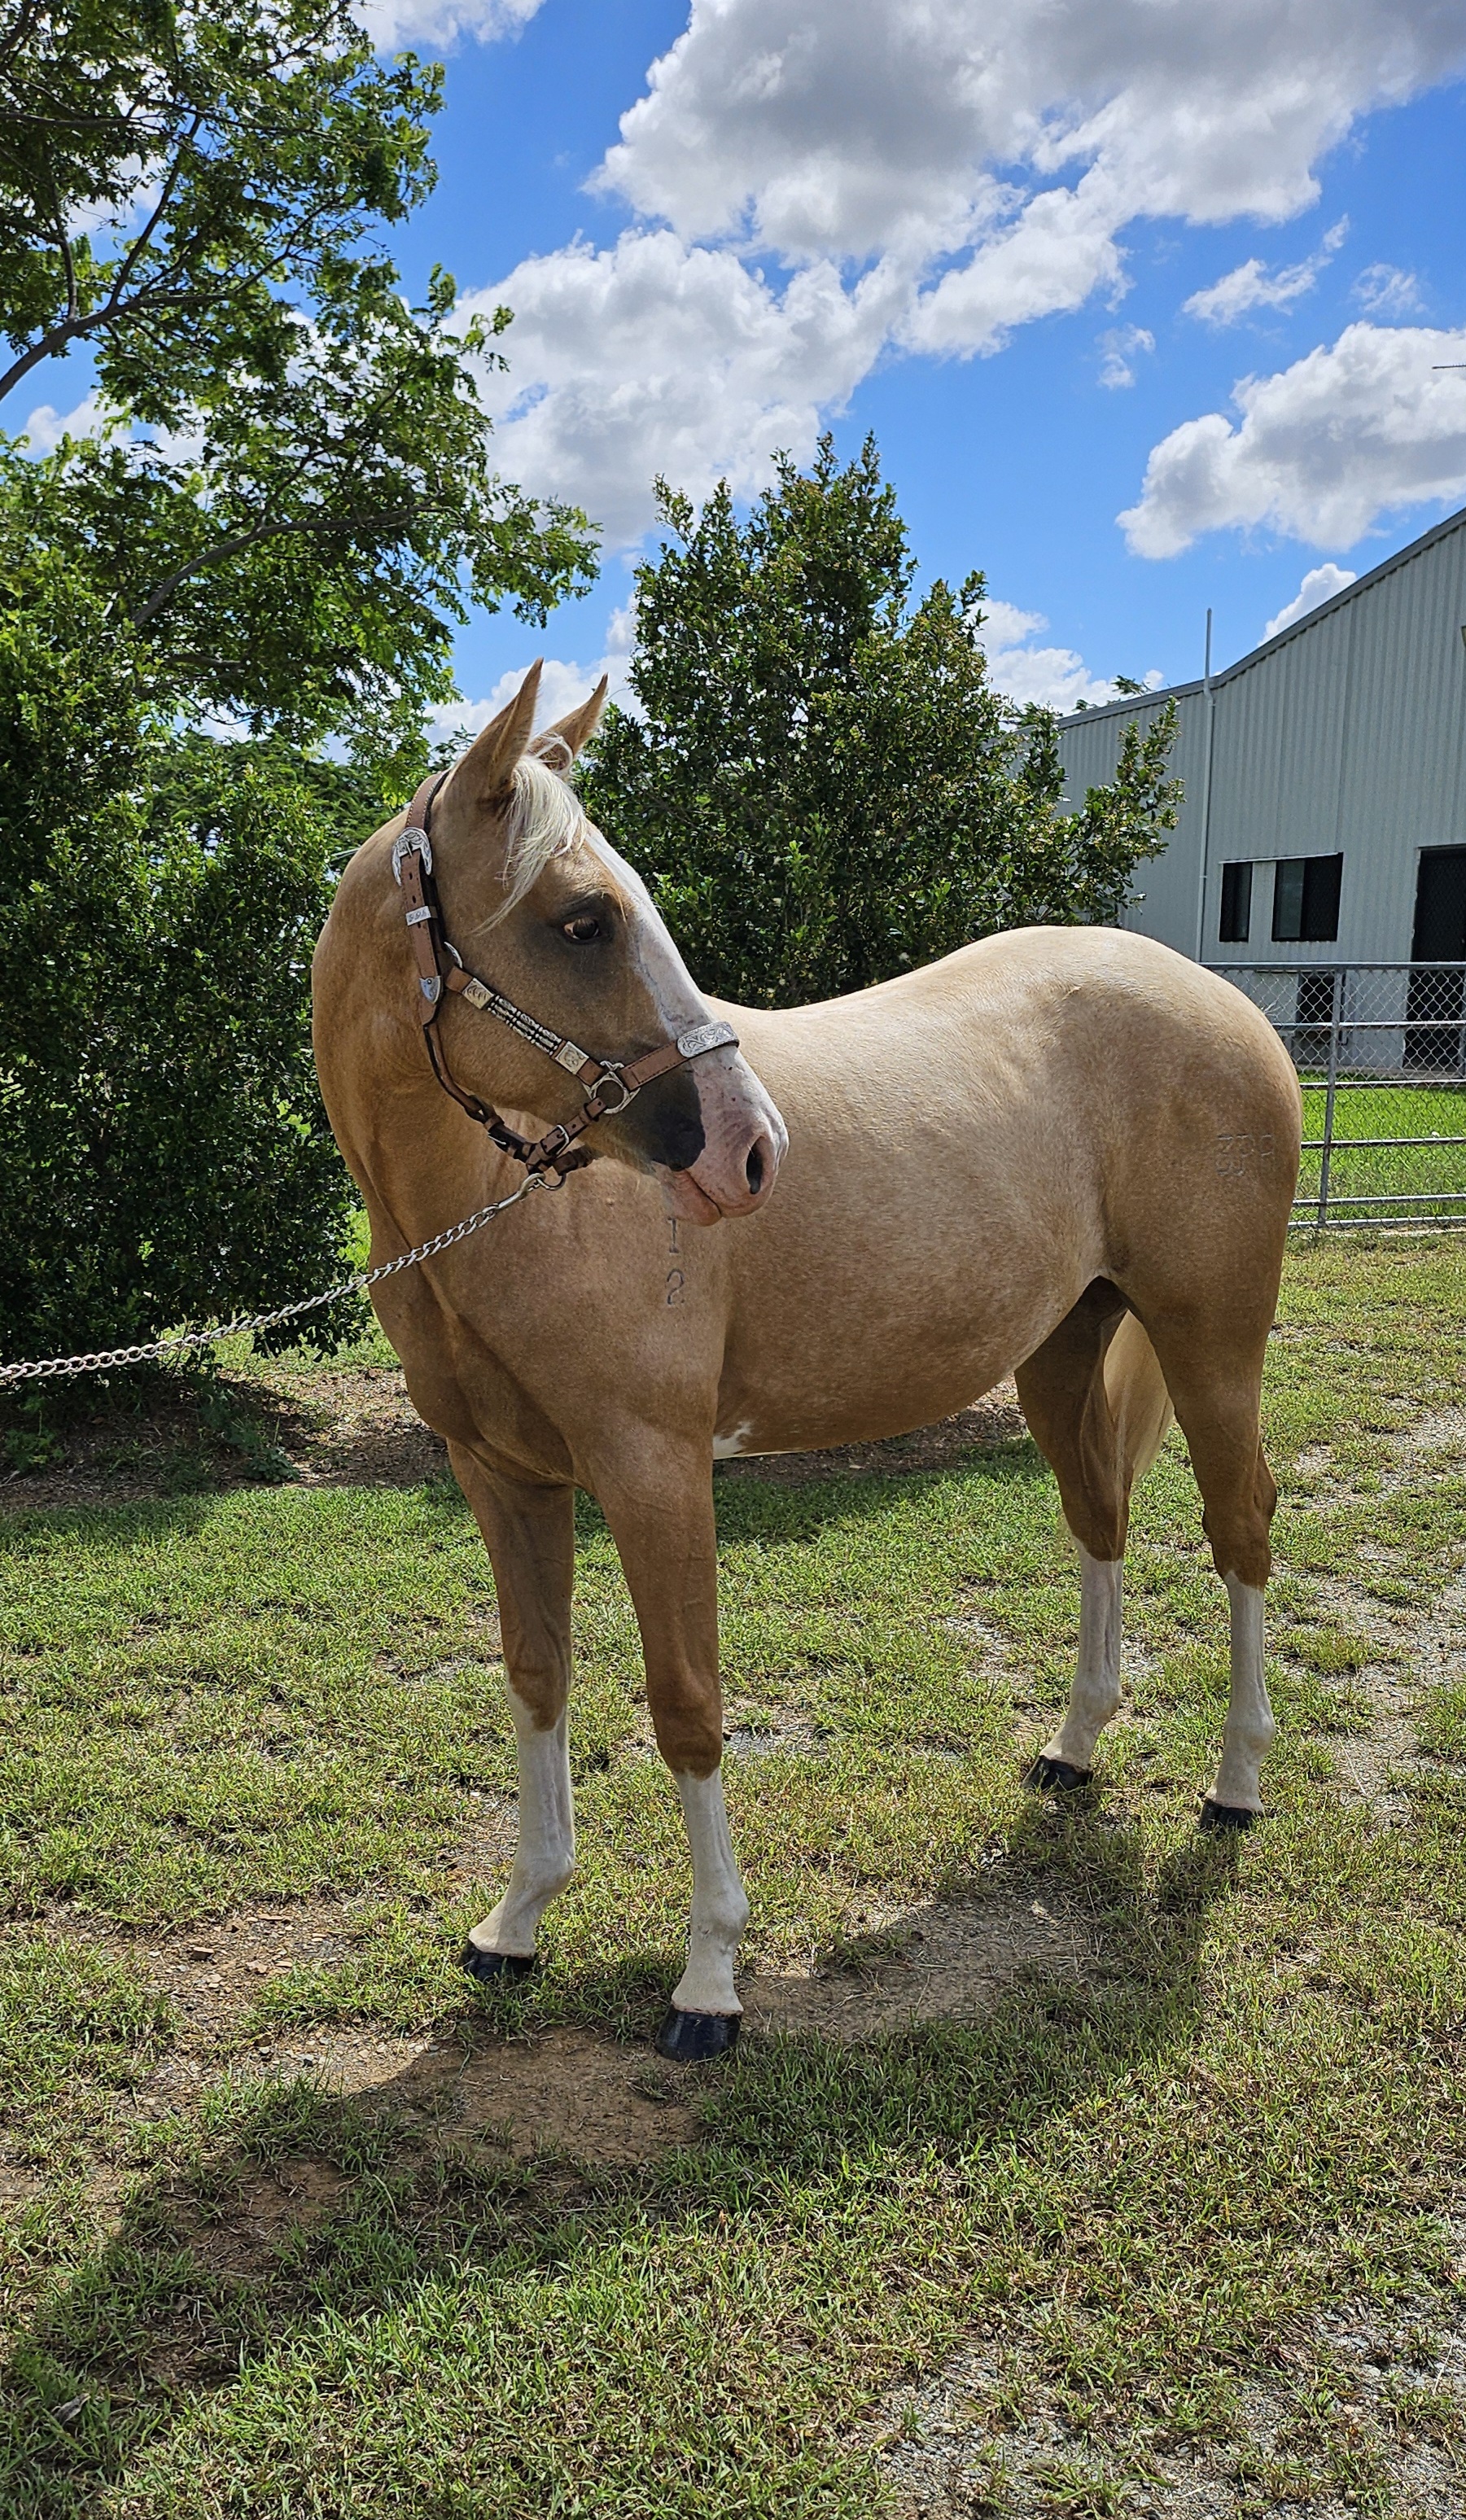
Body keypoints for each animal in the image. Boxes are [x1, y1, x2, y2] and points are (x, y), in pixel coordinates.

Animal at [312, 664, 1302, 2061]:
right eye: (579, 921)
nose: (750, 1149)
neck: (503, 1209)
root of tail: (1218, 1003)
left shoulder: (655, 1472)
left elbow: (686, 1702)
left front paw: (709, 1982)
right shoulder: (504, 1477)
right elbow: (537, 1676)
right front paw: (516, 1923)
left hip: (1211, 1341)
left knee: (1240, 1529)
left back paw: (1234, 1783)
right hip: (1061, 1351)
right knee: (1098, 1517)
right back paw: (1072, 1750)